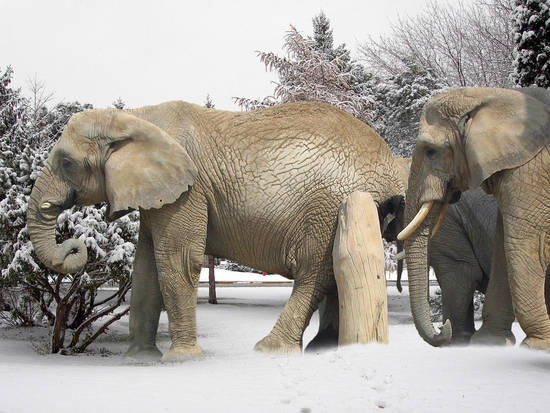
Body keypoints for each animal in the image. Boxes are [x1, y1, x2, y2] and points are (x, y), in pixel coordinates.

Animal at [27, 100, 406, 360]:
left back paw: (271, 350)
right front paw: (139, 361)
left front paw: (181, 361)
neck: (136, 115)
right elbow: (146, 266)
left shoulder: (189, 191)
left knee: (315, 273)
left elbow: (178, 261)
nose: (75, 245)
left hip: (332, 206)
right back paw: (319, 350)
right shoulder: (161, 194)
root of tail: (391, 162)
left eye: (67, 163)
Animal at [398, 86, 550, 348]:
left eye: (431, 151)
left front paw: (536, 345)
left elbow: (527, 246)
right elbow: (503, 250)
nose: (442, 328)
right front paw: (488, 342)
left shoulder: (531, 170)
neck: (486, 95)